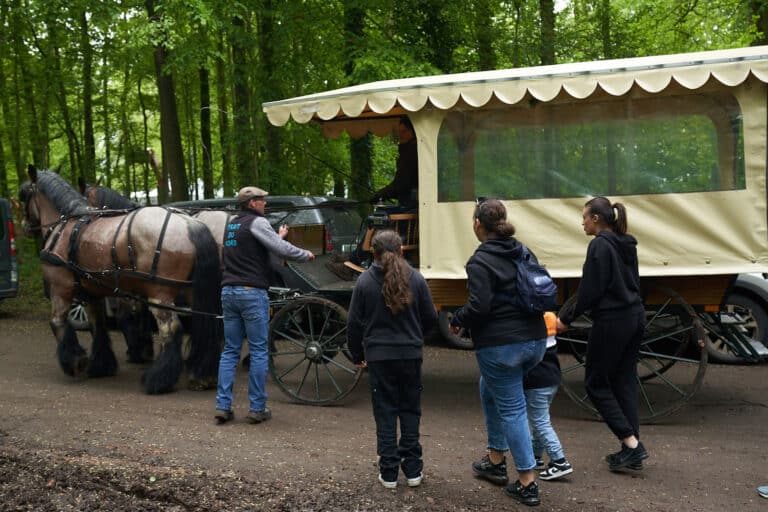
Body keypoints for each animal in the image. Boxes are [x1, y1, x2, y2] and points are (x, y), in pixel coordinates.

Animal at [22, 166, 220, 394]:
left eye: (23, 195)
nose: (24, 226)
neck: (67, 227)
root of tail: (190, 223)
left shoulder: (61, 288)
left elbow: (57, 322)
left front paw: (76, 362)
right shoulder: (93, 293)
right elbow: (98, 325)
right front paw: (102, 365)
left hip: (160, 294)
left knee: (171, 329)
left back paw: (158, 380)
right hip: (192, 292)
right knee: (203, 327)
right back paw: (202, 376)